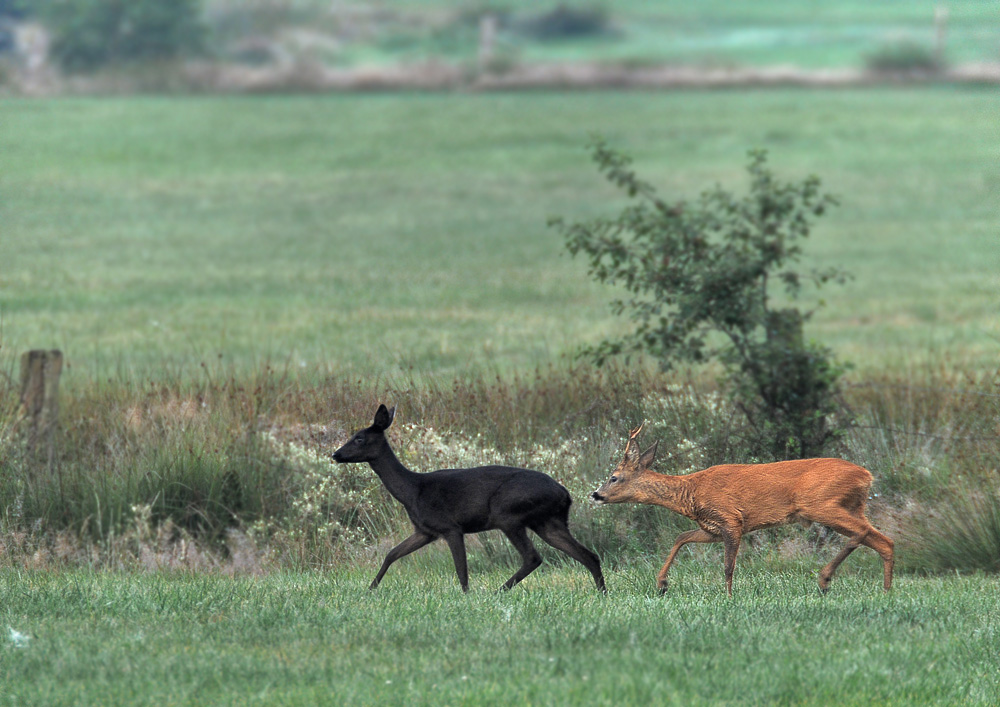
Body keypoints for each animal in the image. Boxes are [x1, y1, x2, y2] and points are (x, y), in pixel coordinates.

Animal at [332, 404, 604, 592]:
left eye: (358, 438)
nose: (335, 454)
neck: (412, 491)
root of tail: (565, 494)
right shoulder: (426, 531)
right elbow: (392, 553)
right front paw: (371, 588)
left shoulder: (451, 526)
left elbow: (461, 570)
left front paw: (466, 596)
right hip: (548, 521)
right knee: (589, 555)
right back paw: (602, 593)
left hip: (508, 513)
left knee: (533, 557)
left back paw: (498, 591)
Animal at [588, 424, 896, 596]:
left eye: (614, 477)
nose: (595, 495)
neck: (691, 492)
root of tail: (867, 475)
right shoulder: (711, 527)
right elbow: (681, 537)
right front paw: (662, 584)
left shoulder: (731, 519)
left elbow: (728, 566)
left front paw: (728, 597)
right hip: (852, 506)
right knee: (884, 541)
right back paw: (885, 591)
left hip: (822, 504)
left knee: (862, 534)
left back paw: (824, 579)